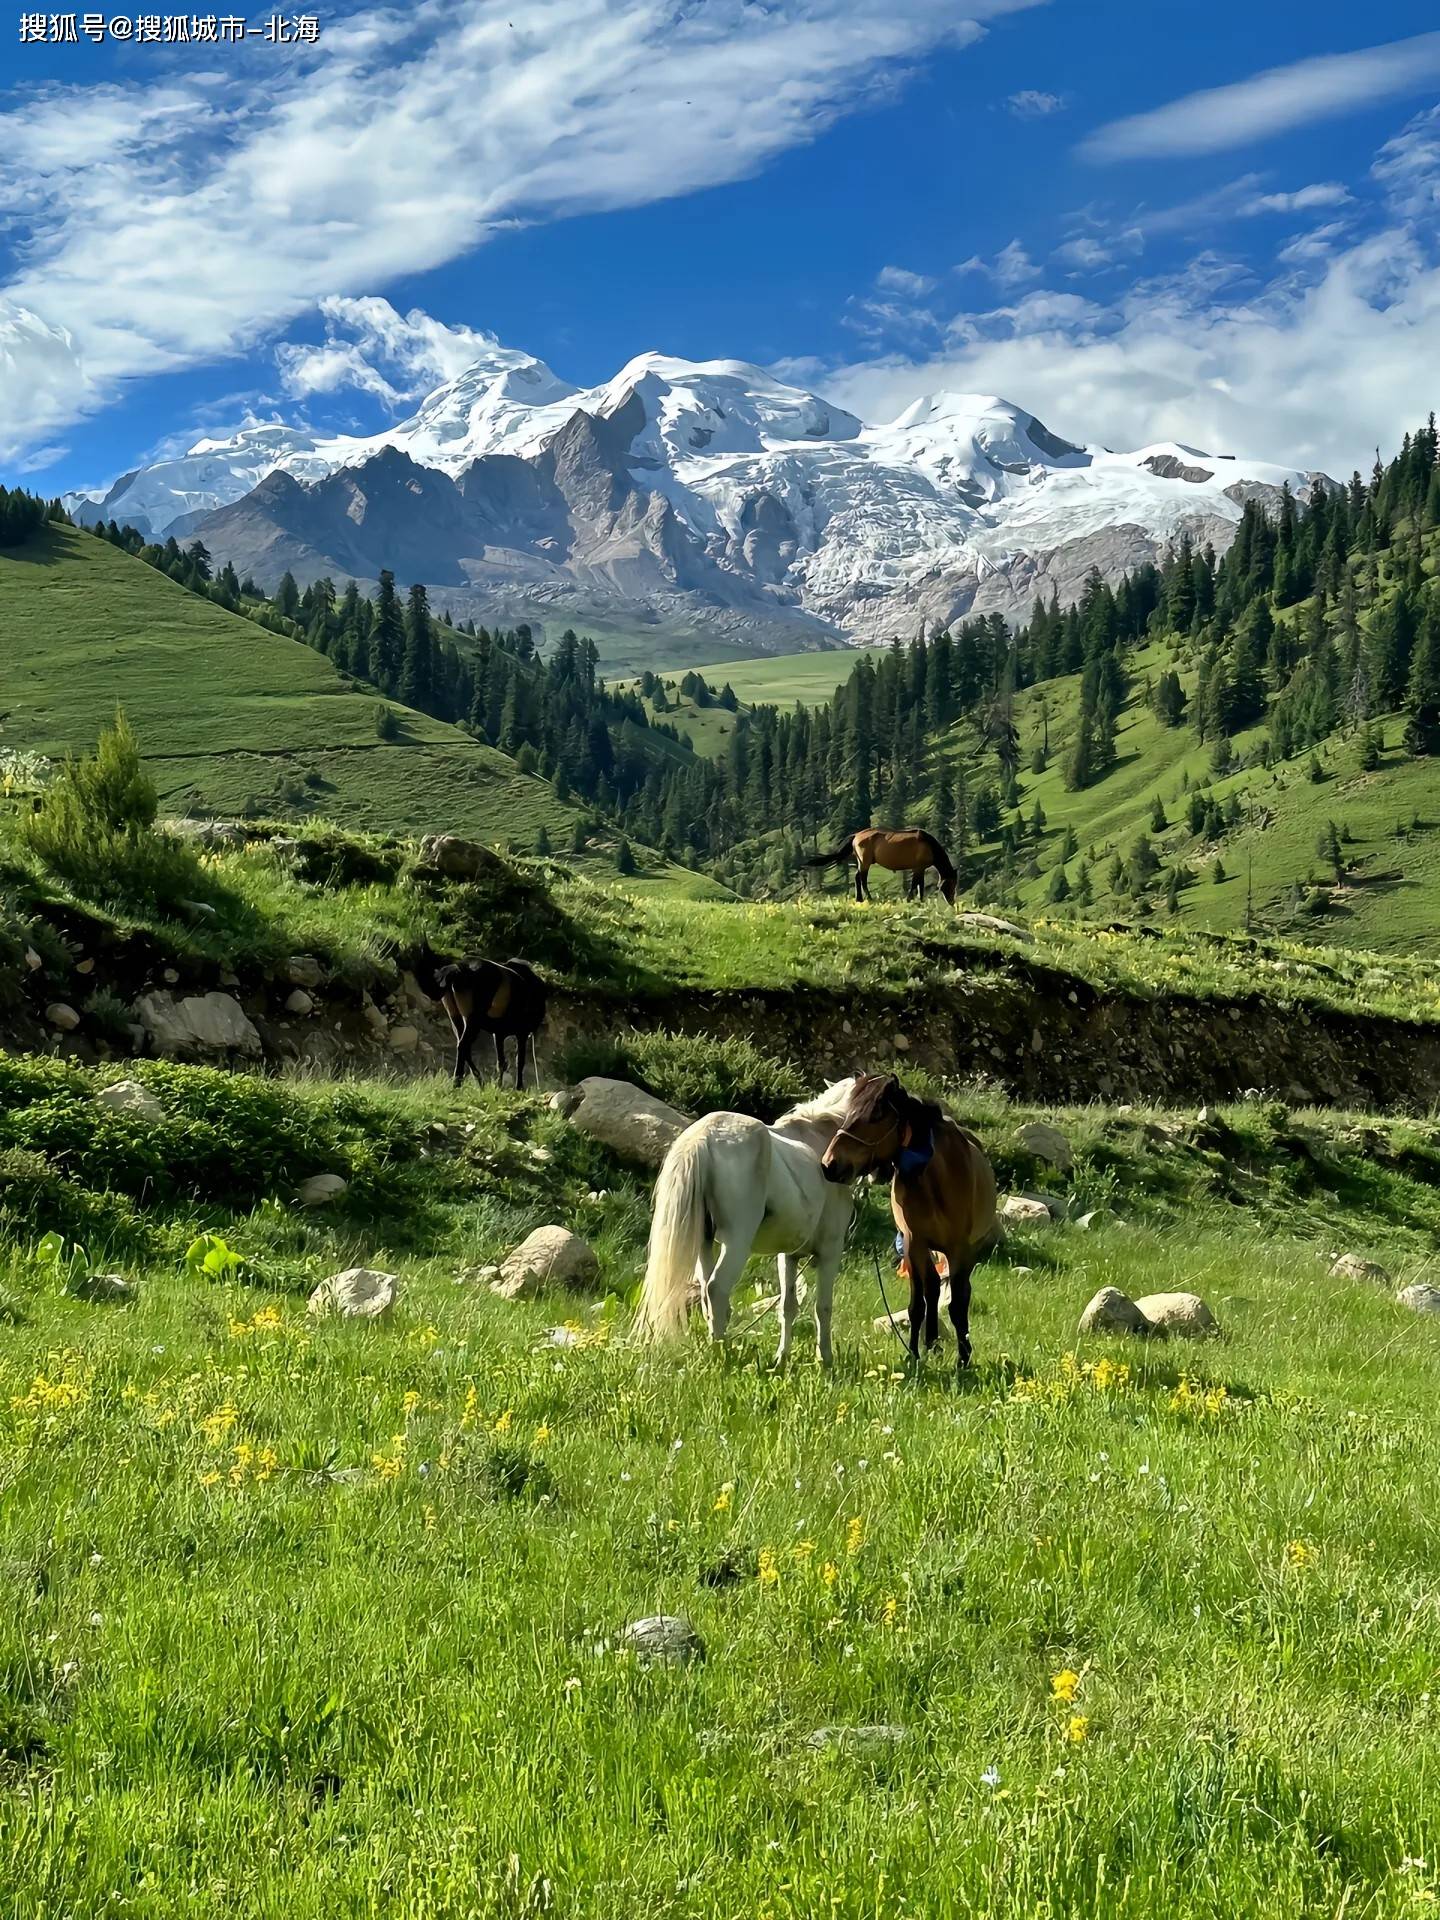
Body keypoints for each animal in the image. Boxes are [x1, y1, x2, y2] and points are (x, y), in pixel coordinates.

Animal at [420, 940, 556, 1090]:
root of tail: (458, 969)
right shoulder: (522, 1032)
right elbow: (519, 1061)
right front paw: (518, 1087)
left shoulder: (499, 1034)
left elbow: (501, 1062)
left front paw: (499, 1086)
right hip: (472, 1019)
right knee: (463, 1045)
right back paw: (458, 1082)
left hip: (455, 1016)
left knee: (463, 1046)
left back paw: (477, 1081)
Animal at [641, 1082, 856, 1367]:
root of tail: (704, 1137)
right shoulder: (830, 1252)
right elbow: (823, 1307)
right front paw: (826, 1360)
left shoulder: (788, 1256)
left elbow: (788, 1306)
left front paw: (782, 1358)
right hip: (737, 1243)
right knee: (716, 1288)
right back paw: (722, 1354)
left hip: (704, 1243)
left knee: (707, 1293)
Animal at [806, 825, 963, 906]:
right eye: (950, 884)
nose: (951, 902)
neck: (929, 845)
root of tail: (856, 835)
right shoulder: (918, 867)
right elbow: (915, 884)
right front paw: (909, 899)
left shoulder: (920, 868)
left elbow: (920, 885)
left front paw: (920, 900)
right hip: (865, 862)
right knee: (861, 879)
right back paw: (868, 898)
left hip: (861, 862)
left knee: (857, 878)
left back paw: (859, 898)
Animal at [829, 1075, 998, 1374]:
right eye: (848, 1110)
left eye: (876, 1114)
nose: (829, 1163)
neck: (935, 1178)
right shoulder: (914, 1243)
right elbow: (917, 1304)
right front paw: (914, 1355)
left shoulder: (959, 1249)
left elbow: (957, 1305)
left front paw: (963, 1359)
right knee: (932, 1286)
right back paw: (931, 1342)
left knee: (959, 1292)